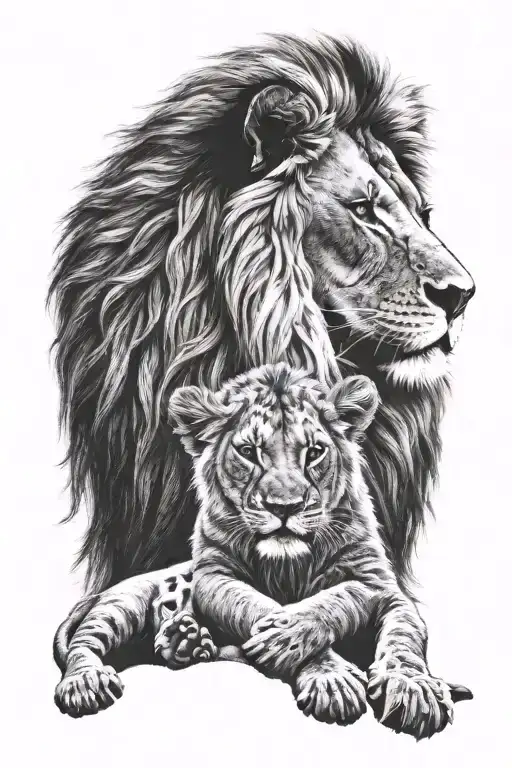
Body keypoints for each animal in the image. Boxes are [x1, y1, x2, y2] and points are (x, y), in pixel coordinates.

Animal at [54, 364, 472, 739]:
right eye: (249, 451)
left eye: (315, 452)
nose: (284, 508)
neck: (290, 564)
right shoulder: (213, 577)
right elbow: (258, 606)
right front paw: (329, 676)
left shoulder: (383, 586)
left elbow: (392, 631)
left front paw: (414, 691)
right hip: (122, 604)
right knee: (84, 643)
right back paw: (87, 682)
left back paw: (187, 642)